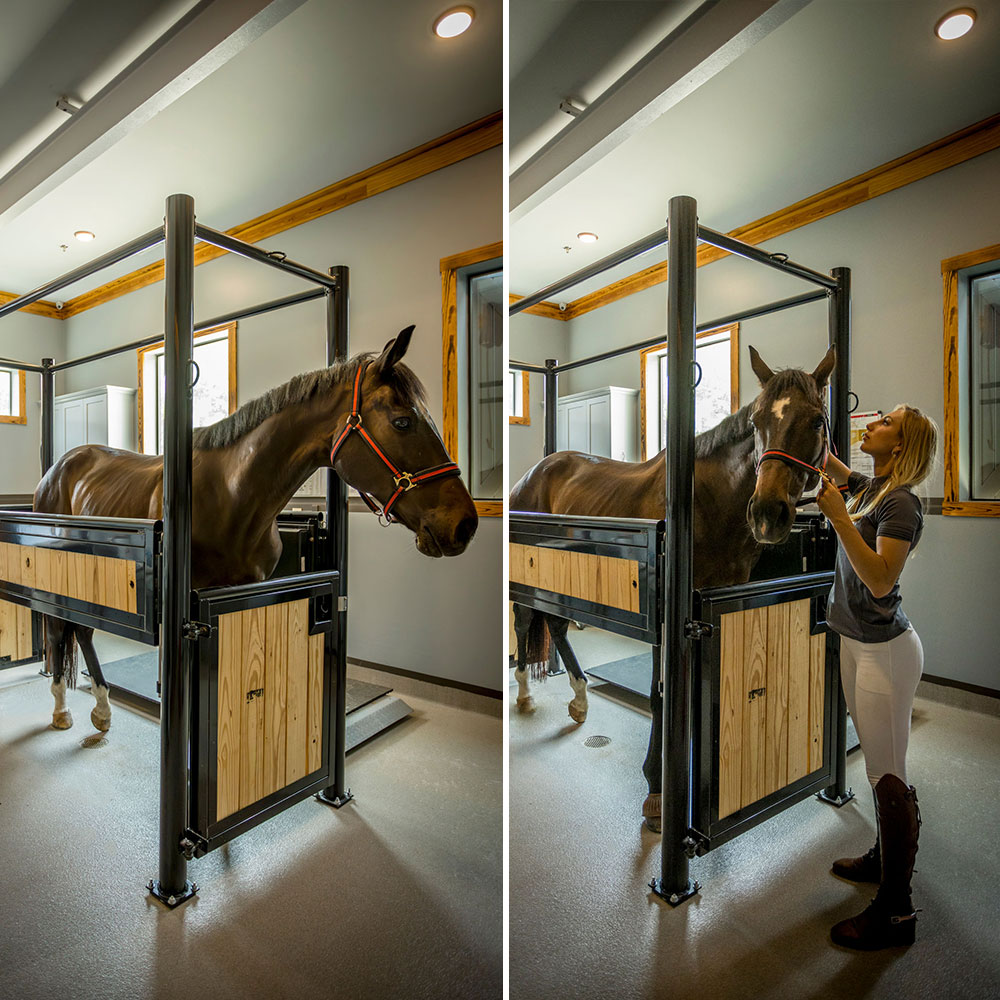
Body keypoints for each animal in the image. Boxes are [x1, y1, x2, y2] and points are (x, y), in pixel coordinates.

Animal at [33, 325, 477, 732]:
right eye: (402, 422)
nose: (465, 524)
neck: (232, 496)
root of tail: (58, 468)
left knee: (82, 631)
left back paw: (102, 710)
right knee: (59, 630)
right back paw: (61, 709)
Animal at [509, 344, 836, 830]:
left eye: (816, 420)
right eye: (757, 420)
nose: (766, 513)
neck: (709, 504)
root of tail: (533, 473)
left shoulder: (711, 608)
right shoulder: (667, 619)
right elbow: (660, 696)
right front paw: (657, 789)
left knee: (559, 627)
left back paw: (581, 700)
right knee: (525, 620)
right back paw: (526, 695)